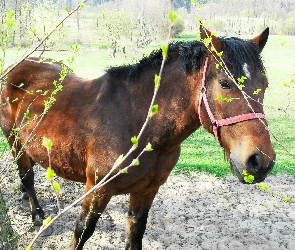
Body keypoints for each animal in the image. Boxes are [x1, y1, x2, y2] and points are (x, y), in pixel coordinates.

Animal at [0, 26, 278, 249]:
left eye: (264, 84)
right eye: (225, 83)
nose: (260, 161)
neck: (138, 122)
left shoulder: (146, 192)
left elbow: (135, 233)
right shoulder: (96, 190)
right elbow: (82, 232)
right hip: (15, 143)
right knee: (27, 175)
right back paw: (37, 214)